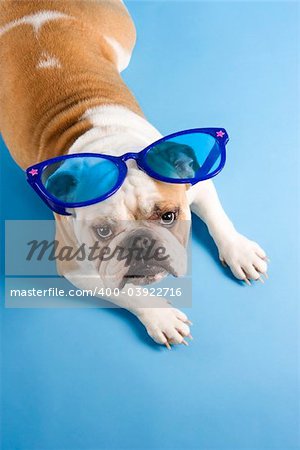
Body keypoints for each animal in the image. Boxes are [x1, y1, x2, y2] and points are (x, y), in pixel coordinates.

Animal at [0, 0, 268, 346]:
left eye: (169, 216)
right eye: (102, 231)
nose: (141, 242)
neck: (110, 146)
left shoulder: (196, 183)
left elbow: (218, 218)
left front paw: (239, 251)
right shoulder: (77, 268)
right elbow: (129, 294)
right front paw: (161, 316)